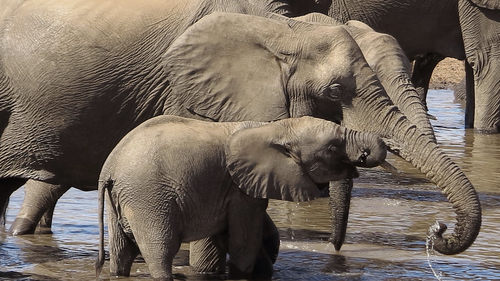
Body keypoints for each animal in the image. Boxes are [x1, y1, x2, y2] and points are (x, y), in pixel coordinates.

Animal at [94, 114, 386, 280]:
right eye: (334, 147)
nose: (362, 156)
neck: (275, 128)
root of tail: (109, 169)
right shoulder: (240, 188)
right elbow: (244, 241)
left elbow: (238, 237)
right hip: (148, 198)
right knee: (160, 250)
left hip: (123, 200)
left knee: (122, 253)